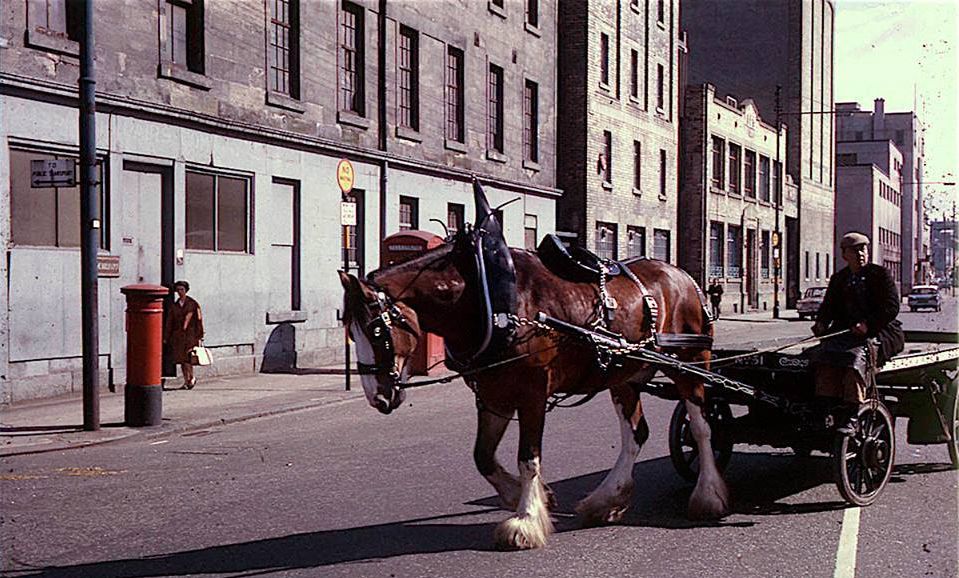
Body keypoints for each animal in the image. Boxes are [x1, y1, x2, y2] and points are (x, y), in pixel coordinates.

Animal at [338, 192, 728, 548]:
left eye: (376, 331)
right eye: (349, 329)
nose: (378, 397)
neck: (492, 298)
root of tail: (683, 276)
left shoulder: (533, 392)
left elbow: (528, 458)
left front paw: (525, 520)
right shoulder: (493, 394)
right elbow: (483, 457)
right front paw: (527, 497)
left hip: (691, 362)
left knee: (702, 427)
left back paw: (708, 495)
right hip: (625, 374)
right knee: (636, 434)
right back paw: (607, 498)